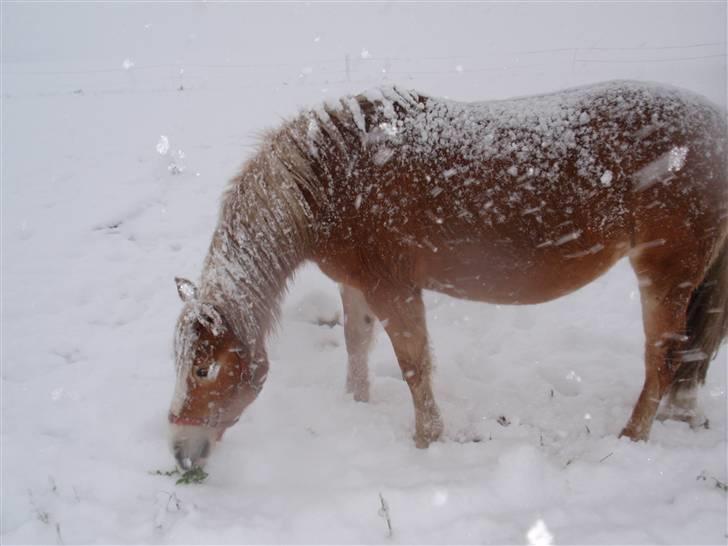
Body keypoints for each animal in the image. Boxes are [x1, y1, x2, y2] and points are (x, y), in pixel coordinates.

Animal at [166, 79, 728, 468]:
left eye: (203, 369)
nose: (179, 451)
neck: (332, 181)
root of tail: (716, 124)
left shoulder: (393, 288)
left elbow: (415, 365)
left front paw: (428, 439)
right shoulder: (354, 284)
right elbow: (356, 343)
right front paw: (357, 404)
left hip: (665, 275)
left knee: (663, 359)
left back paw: (632, 438)